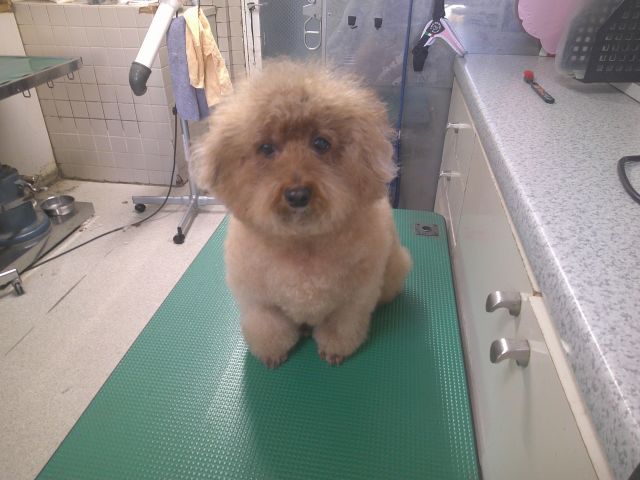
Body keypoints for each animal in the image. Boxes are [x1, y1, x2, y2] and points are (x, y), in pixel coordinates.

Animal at [196, 60, 411, 368]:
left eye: (320, 143)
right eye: (266, 148)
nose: (297, 195)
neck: (302, 240)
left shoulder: (353, 301)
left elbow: (342, 327)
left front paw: (335, 349)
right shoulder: (260, 303)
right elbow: (269, 329)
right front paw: (273, 353)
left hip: (393, 271)